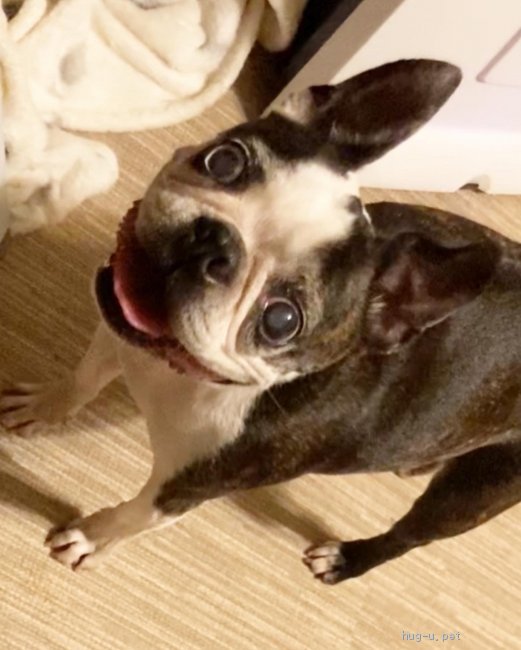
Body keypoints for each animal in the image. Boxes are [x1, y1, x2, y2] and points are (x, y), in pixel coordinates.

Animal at [1, 59, 520, 585]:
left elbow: (131, 517)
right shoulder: (118, 337)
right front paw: (42, 408)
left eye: (281, 320)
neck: (183, 372)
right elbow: (82, 380)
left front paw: (90, 537)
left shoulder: (184, 488)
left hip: (476, 490)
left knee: (409, 537)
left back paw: (347, 559)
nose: (213, 243)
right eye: (225, 162)